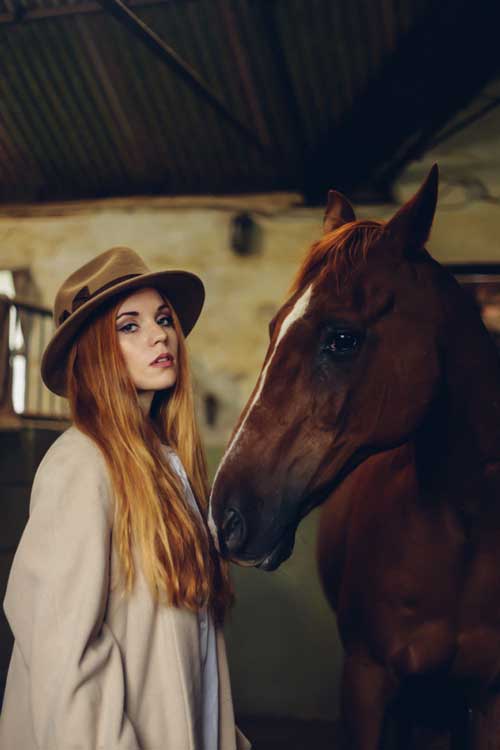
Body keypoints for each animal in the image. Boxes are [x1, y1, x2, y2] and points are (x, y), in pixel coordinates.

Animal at [208, 166, 500, 750]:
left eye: (343, 339)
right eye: (273, 329)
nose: (224, 517)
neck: (462, 530)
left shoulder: (488, 698)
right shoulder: (365, 682)